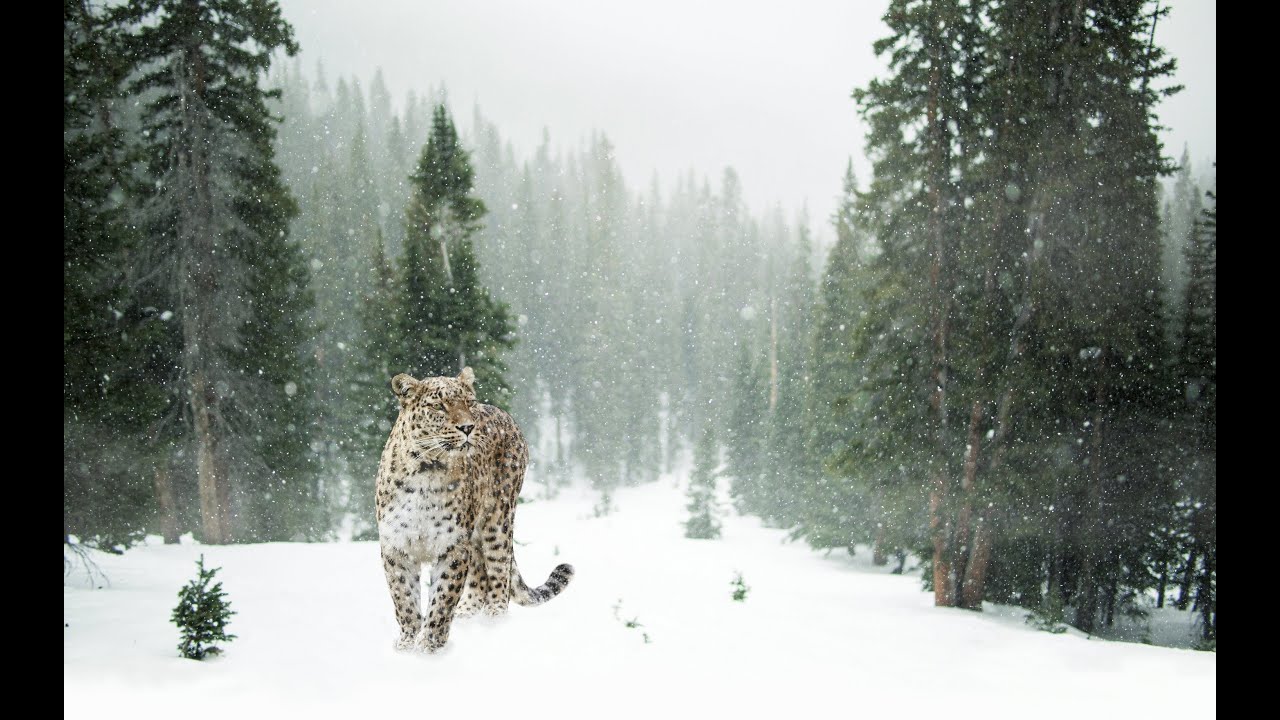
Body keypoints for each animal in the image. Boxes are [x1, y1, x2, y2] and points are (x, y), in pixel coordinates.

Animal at [375, 366, 574, 652]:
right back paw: (467, 616)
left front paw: (429, 646)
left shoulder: (453, 545)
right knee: (480, 576)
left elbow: (443, 598)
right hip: (478, 535)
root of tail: (505, 414)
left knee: (499, 573)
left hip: (498, 520)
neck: (426, 471)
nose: (468, 427)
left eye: (468, 403)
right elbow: (404, 599)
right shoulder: (397, 546)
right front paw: (407, 644)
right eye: (439, 406)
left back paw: (493, 622)